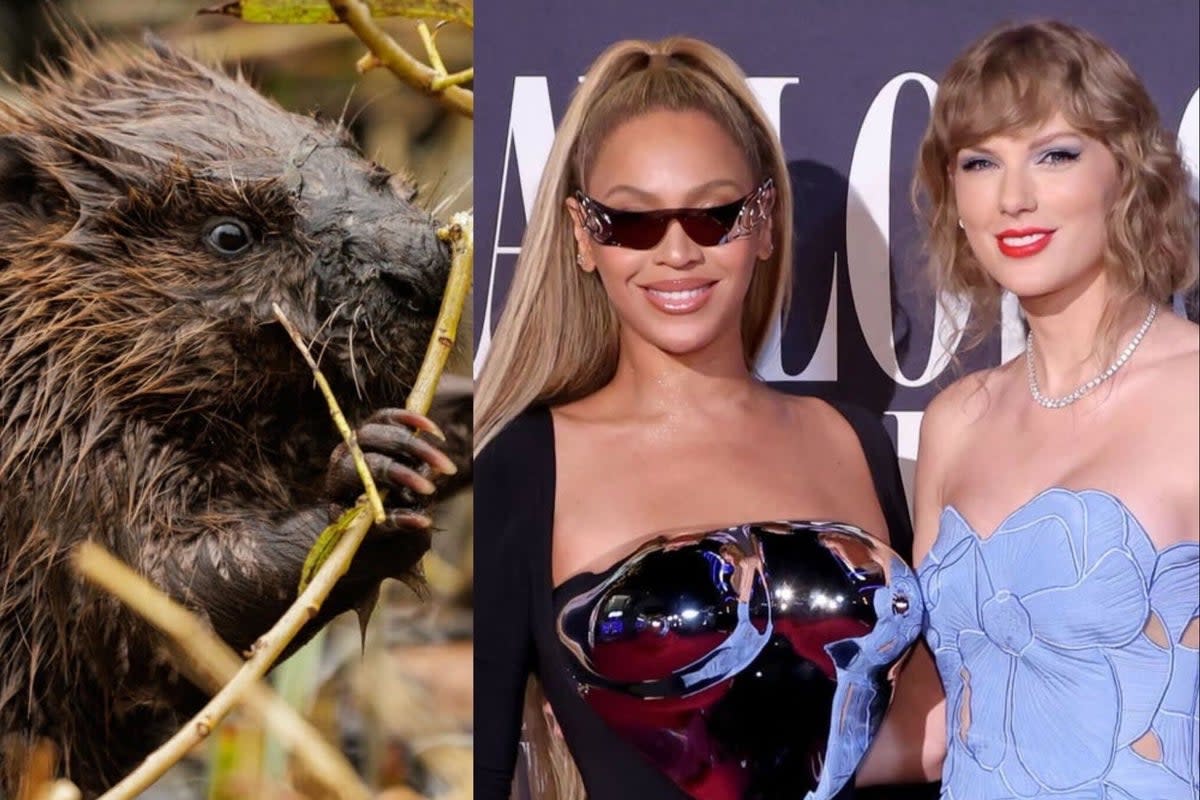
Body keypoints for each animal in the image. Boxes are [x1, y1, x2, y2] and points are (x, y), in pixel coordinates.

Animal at [0, 34, 472, 796]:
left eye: (347, 143)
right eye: (230, 234)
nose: (420, 268)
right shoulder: (51, 444)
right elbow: (163, 592)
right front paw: (377, 465)